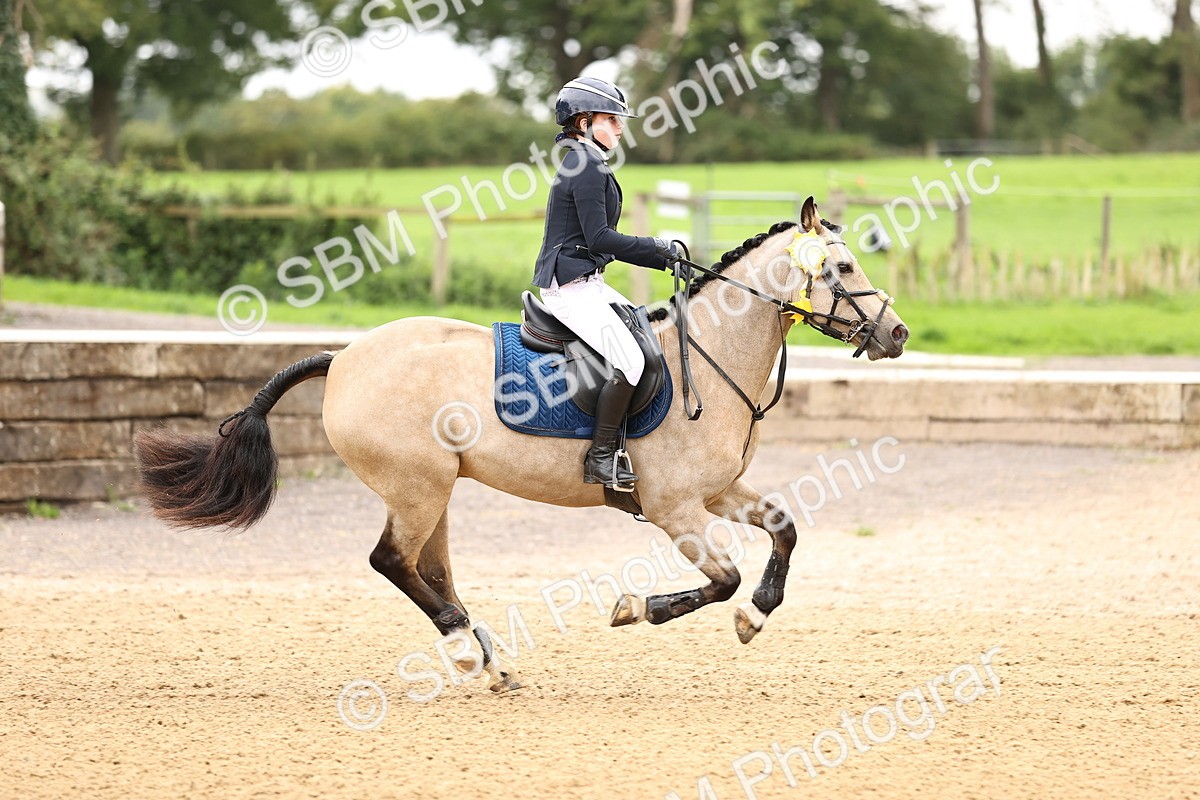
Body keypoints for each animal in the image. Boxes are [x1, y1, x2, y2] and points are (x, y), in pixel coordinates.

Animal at [134, 197, 909, 693]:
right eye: (841, 271)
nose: (896, 334)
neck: (713, 355)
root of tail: (344, 356)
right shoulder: (675, 506)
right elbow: (721, 579)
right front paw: (636, 609)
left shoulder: (717, 492)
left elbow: (784, 530)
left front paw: (755, 616)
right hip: (416, 486)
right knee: (391, 560)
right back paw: (464, 652)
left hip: (436, 489)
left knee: (429, 569)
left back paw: (489, 659)